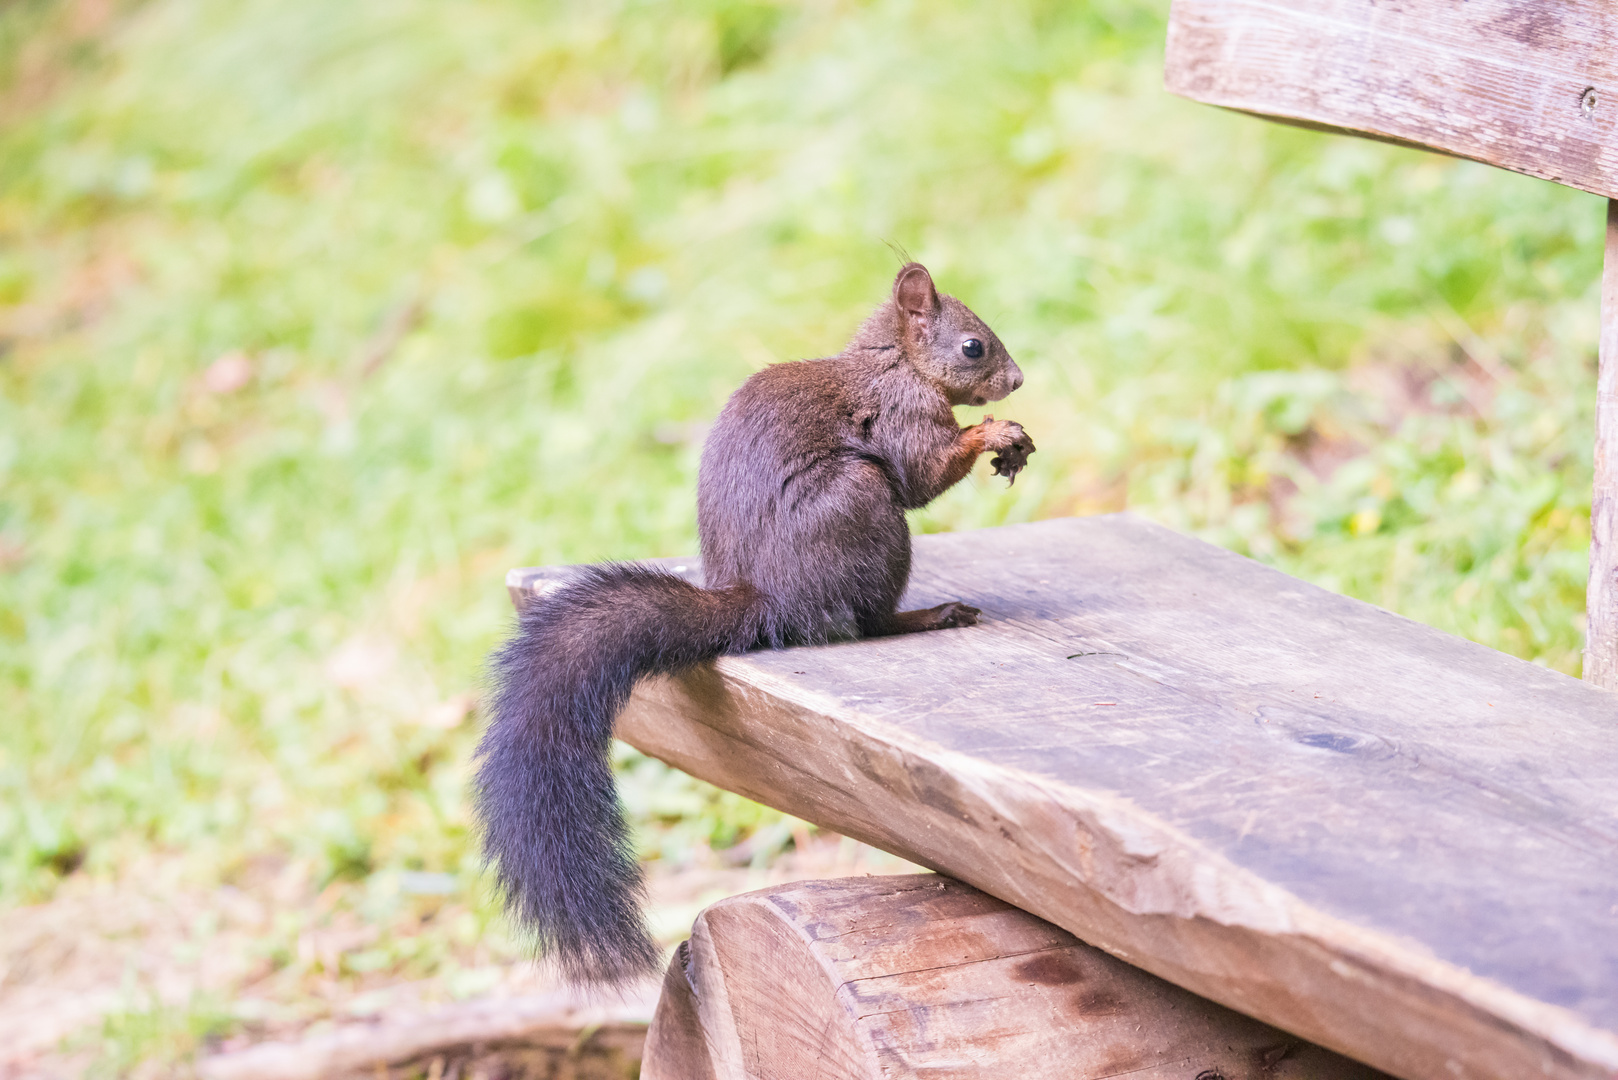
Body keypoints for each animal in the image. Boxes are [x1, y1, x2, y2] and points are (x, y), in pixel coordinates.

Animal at [478, 263, 1035, 990]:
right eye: (974, 347)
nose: (1017, 381)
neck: (892, 361)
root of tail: (762, 601)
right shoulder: (902, 413)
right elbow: (922, 475)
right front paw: (994, 432)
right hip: (861, 503)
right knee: (862, 621)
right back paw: (927, 616)